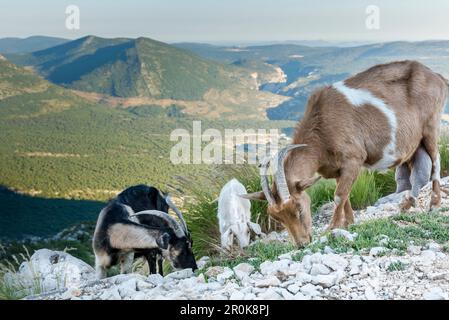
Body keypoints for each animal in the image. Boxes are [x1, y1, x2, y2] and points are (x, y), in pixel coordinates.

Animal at [243, 60, 448, 248]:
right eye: (277, 218)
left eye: (299, 208)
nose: (302, 244)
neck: (321, 128)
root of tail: (437, 77)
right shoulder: (336, 169)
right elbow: (345, 195)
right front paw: (349, 223)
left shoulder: (353, 159)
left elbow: (339, 195)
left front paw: (331, 227)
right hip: (415, 142)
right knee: (419, 168)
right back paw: (407, 204)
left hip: (430, 125)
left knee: (435, 161)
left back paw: (434, 204)